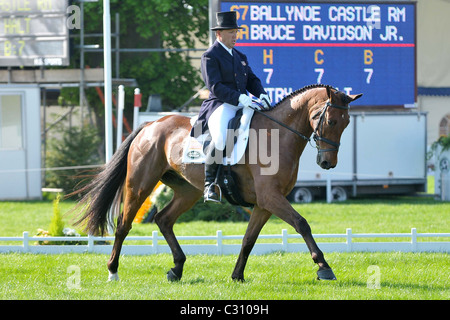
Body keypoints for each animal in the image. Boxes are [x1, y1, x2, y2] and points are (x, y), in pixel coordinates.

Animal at [72, 84, 364, 282]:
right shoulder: (271, 198)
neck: (278, 135)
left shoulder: (265, 203)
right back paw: (113, 271)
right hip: (140, 184)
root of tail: (151, 124)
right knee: (123, 225)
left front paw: (237, 276)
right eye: (330, 120)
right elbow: (302, 224)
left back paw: (177, 268)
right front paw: (324, 268)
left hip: (187, 191)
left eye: (347, 122)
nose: (327, 163)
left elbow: (248, 239)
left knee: (164, 219)